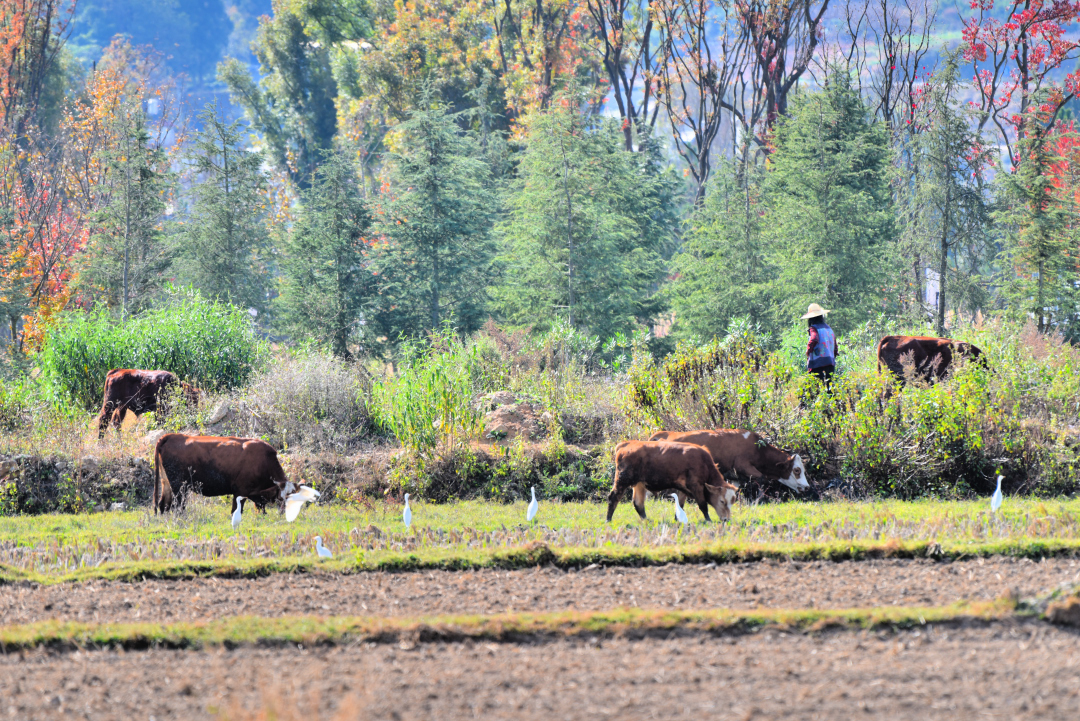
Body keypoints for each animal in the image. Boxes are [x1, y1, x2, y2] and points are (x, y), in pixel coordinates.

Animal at [153, 431, 304, 515]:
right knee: (178, 505)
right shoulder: (240, 491)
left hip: (167, 483)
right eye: (281, 498)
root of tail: (173, 436)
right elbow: (236, 511)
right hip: (179, 486)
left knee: (163, 504)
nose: (285, 513)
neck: (265, 460)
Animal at [643, 427, 807, 496]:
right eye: (796, 470)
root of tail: (665, 434)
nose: (807, 486)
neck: (759, 449)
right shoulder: (743, 466)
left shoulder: (735, 476)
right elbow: (761, 478)